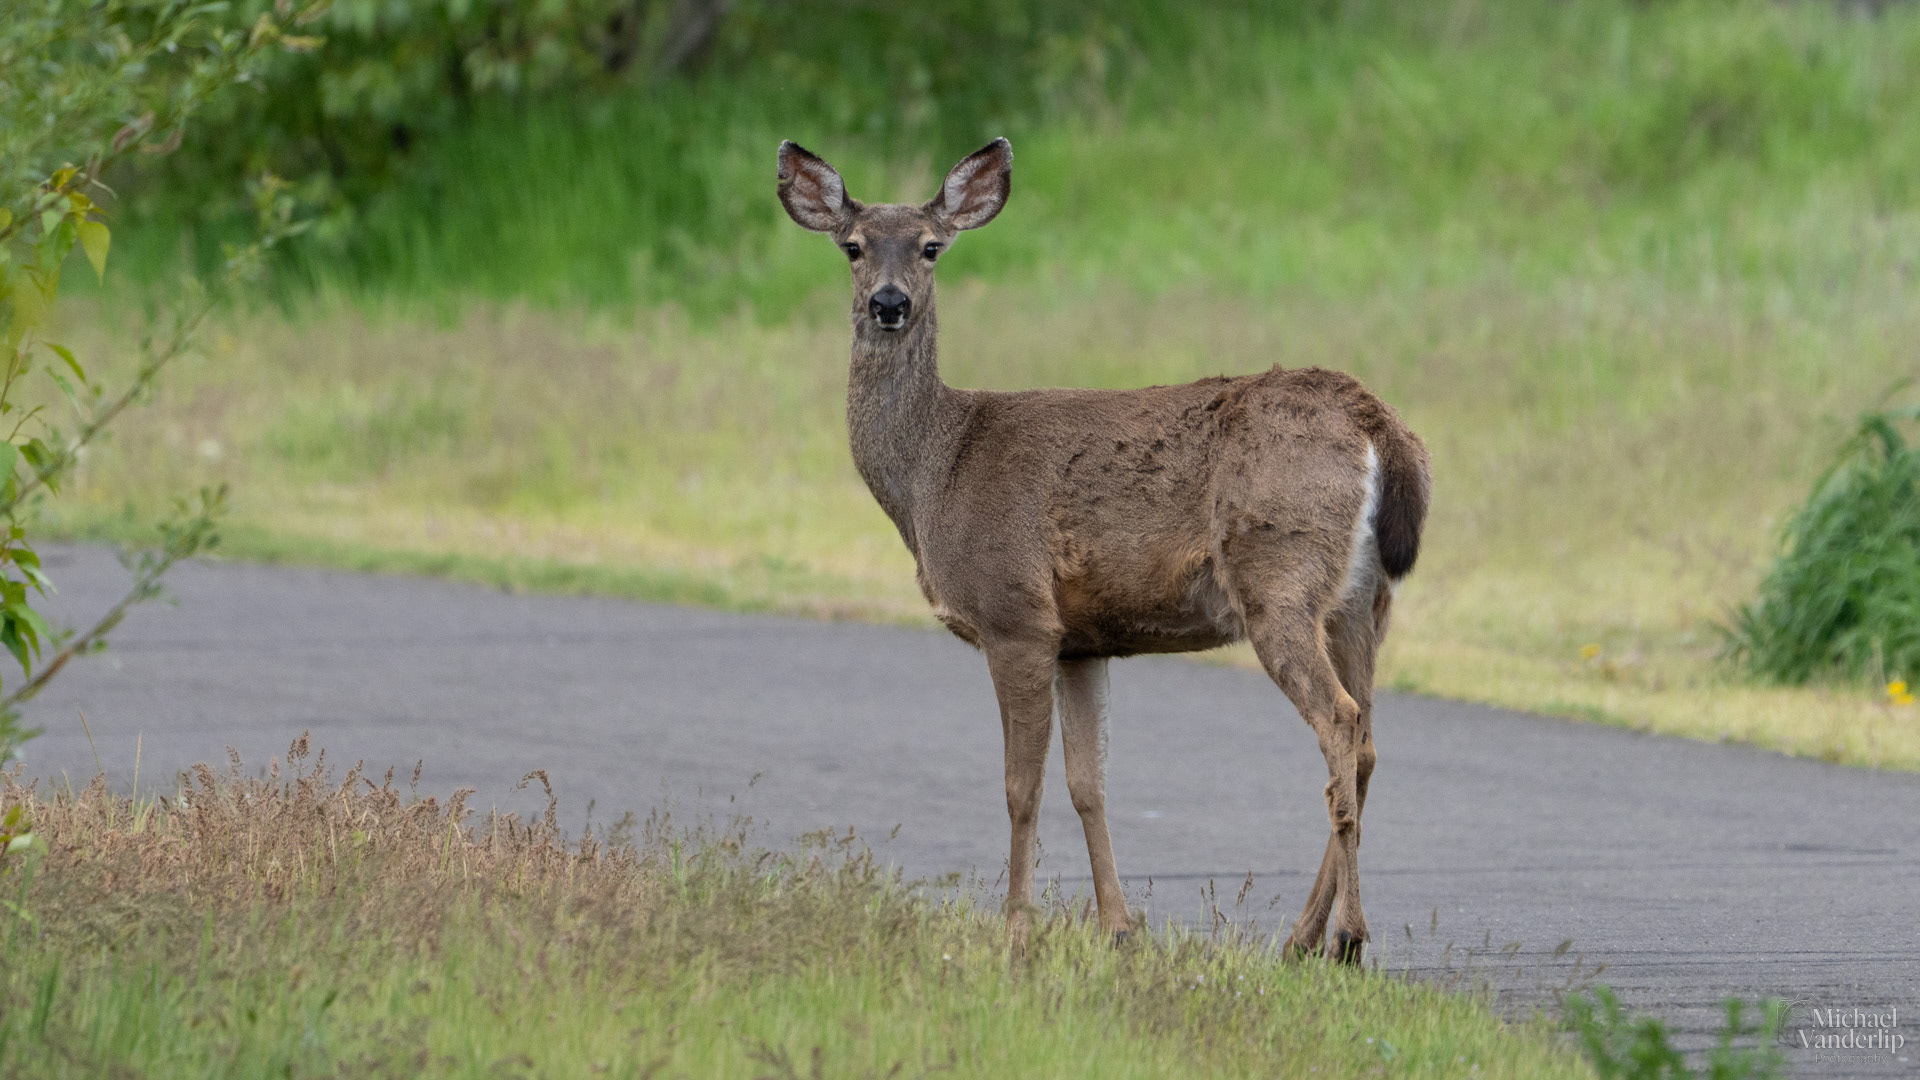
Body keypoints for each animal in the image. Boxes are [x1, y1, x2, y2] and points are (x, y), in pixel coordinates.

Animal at [776, 137, 1430, 963]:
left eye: (930, 247)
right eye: (853, 246)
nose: (887, 303)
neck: (936, 469)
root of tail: (1377, 422)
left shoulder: (1015, 615)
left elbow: (1020, 786)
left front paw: (1016, 932)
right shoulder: (1082, 642)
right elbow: (1089, 784)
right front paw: (1117, 927)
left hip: (1279, 575)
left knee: (1340, 722)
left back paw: (1345, 937)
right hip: (1363, 601)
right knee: (1367, 739)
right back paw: (1300, 940)